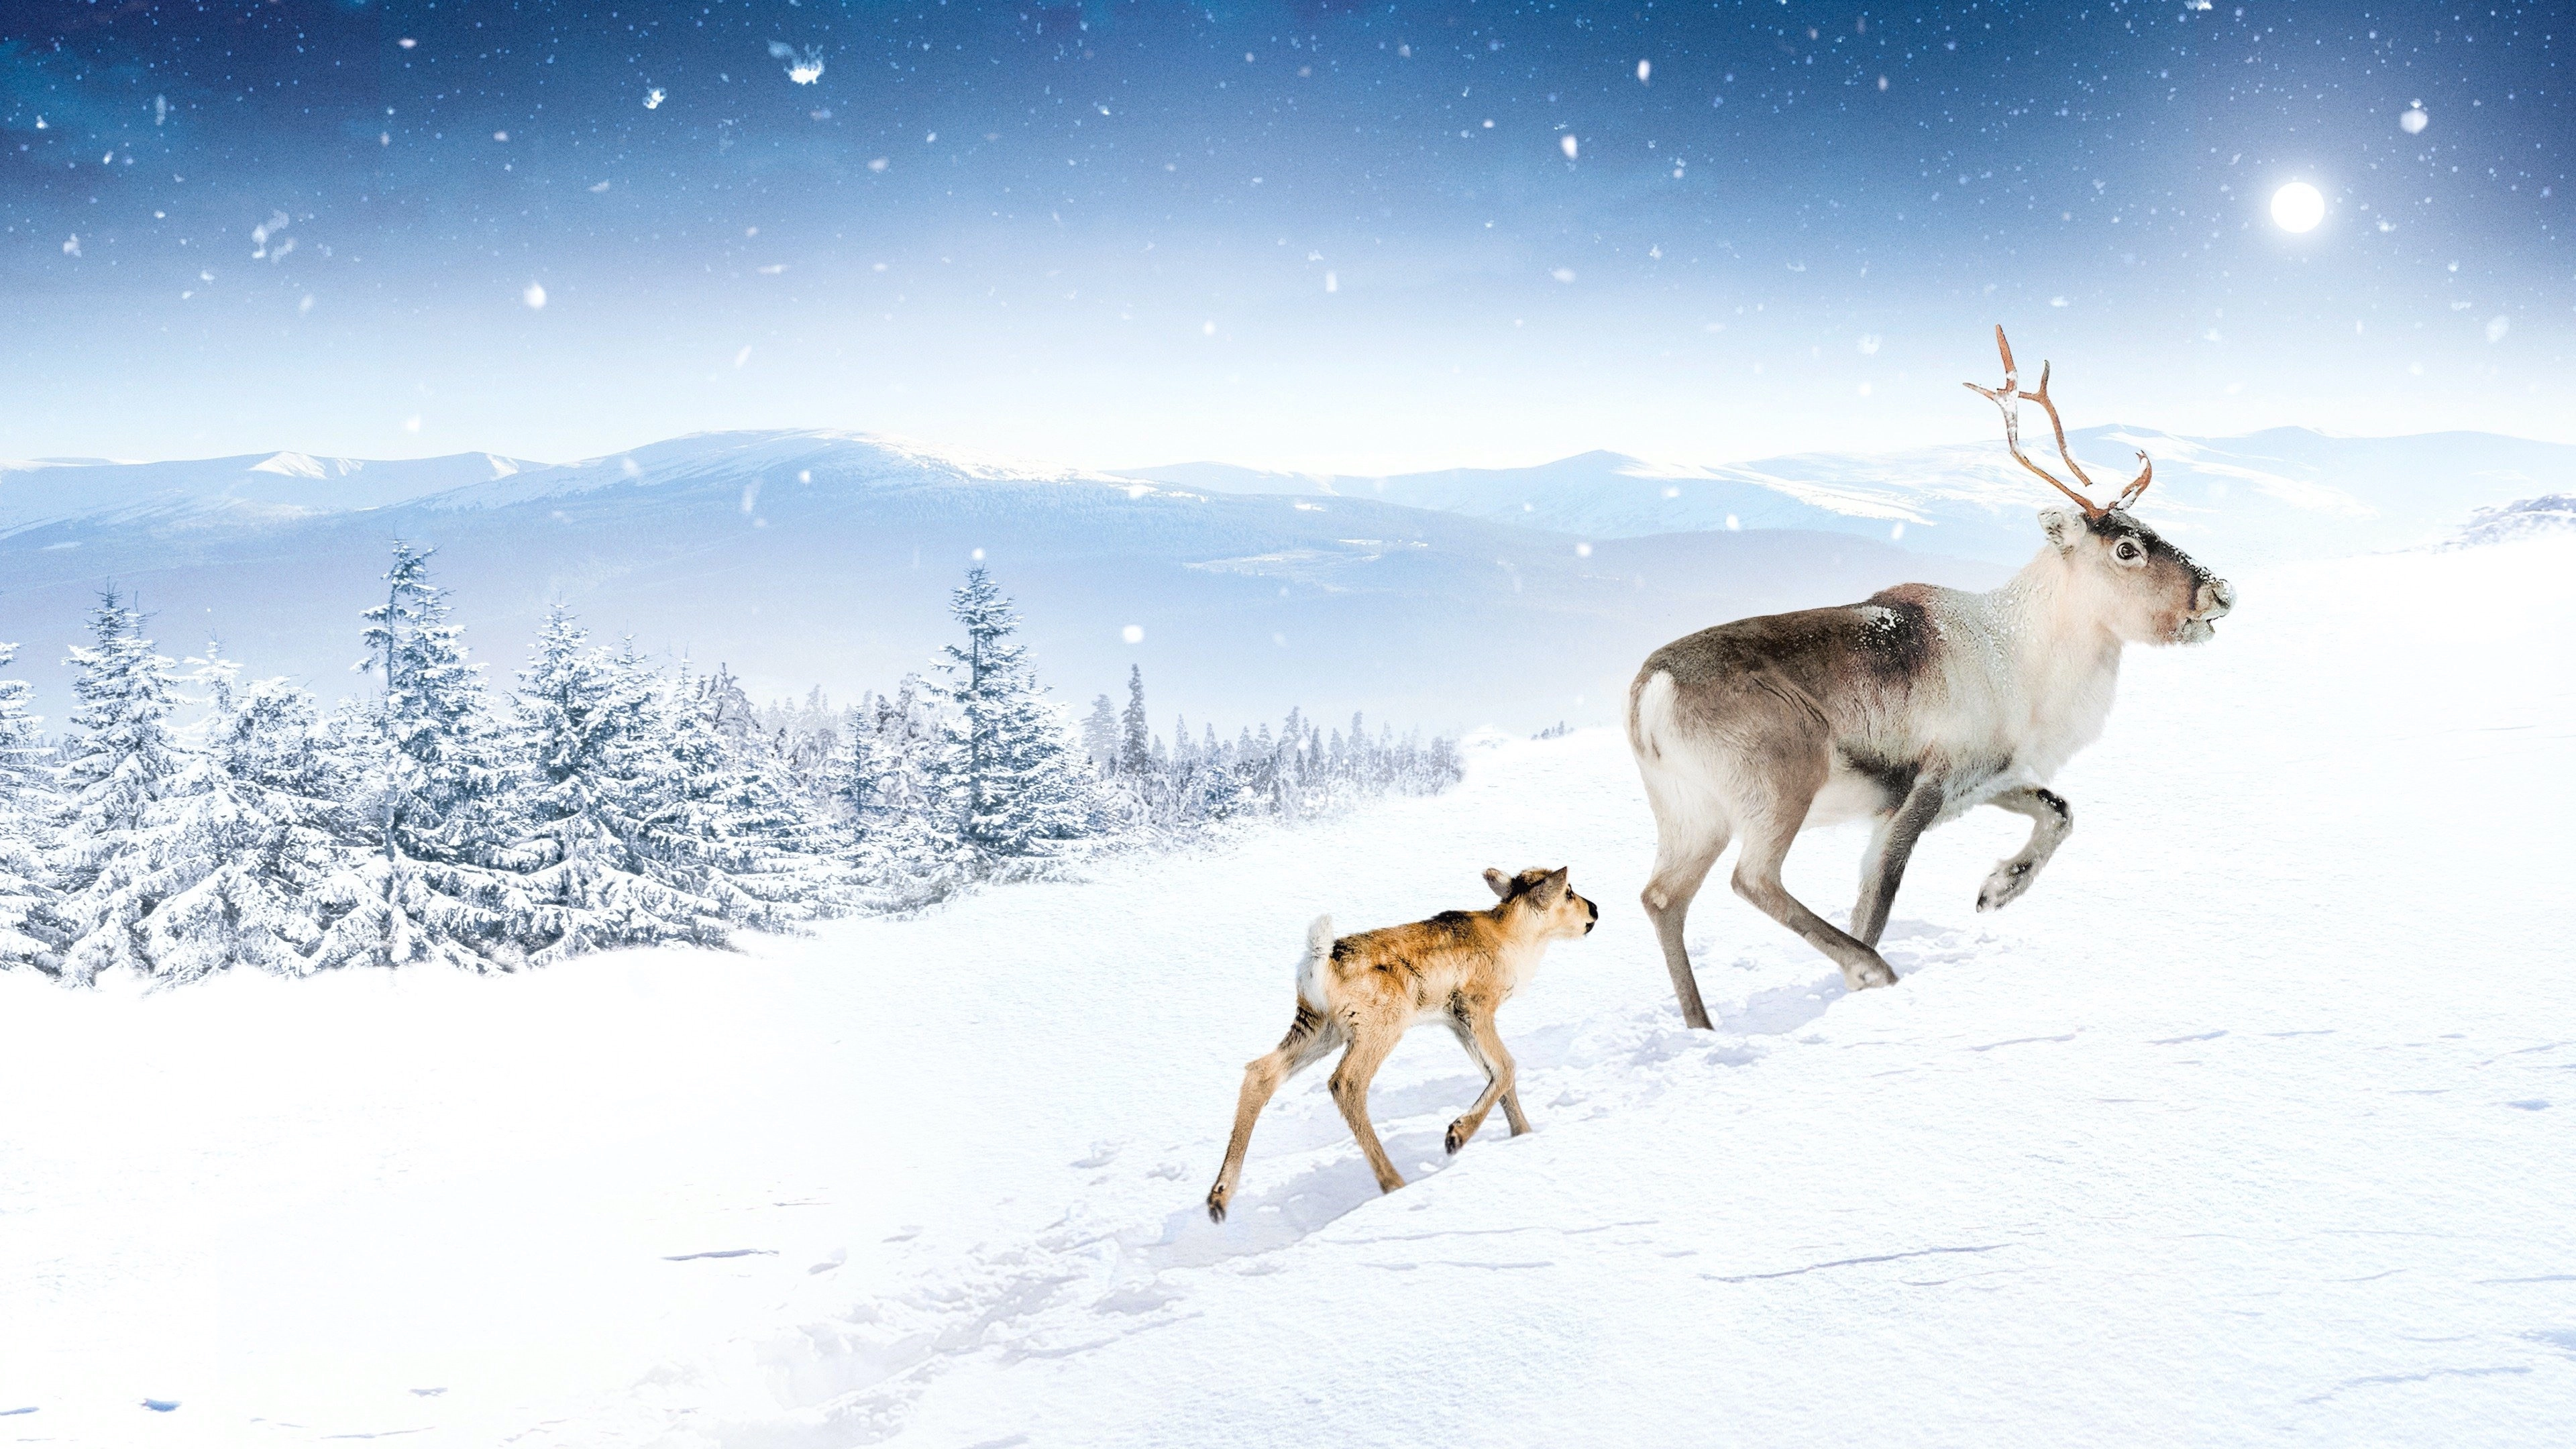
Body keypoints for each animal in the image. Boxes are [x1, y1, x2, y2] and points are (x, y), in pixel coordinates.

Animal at [1205, 867, 1598, 1223]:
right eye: (1568, 892)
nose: (1594, 909)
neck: (1513, 940)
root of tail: (1317, 964)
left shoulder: (1455, 1021)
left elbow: (1499, 1075)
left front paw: (1523, 1134)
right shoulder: (1475, 1006)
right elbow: (1507, 1066)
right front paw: (1456, 1135)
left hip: (1318, 1028)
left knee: (1260, 1071)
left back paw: (1218, 1200)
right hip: (1381, 1025)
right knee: (1345, 1082)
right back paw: (1393, 1182)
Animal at [1626, 327, 2235, 1028]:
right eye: (2126, 549)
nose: (2221, 591)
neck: (2024, 658)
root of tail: (1650, 694)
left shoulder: (1988, 775)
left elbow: (2060, 811)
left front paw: (1996, 890)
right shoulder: (1926, 784)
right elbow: (1877, 898)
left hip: (1689, 813)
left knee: (1662, 897)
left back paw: (1703, 1027)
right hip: (1776, 786)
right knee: (1752, 879)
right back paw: (1869, 971)